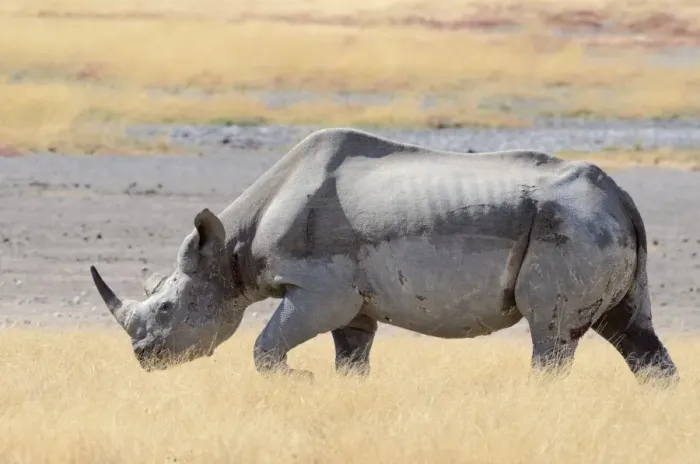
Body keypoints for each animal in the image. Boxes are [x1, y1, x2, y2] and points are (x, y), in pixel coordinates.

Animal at [91, 128, 678, 381]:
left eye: (168, 308)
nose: (144, 358)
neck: (232, 248)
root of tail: (621, 196)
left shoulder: (320, 290)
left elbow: (264, 347)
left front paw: (299, 382)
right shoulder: (352, 303)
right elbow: (351, 359)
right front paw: (336, 388)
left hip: (569, 226)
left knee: (550, 335)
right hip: (593, 225)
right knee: (633, 333)